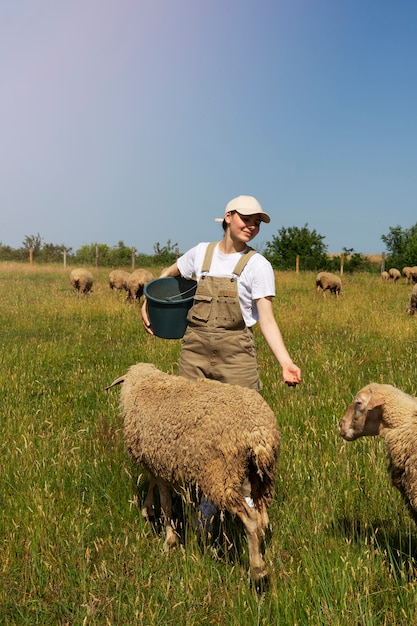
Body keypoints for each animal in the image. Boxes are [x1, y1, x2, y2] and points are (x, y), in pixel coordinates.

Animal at [105, 360, 280, 580]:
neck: (143, 382)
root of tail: (258, 431)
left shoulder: (159, 464)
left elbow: (166, 504)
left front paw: (169, 541)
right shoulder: (158, 459)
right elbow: (153, 484)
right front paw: (148, 508)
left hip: (220, 476)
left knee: (251, 520)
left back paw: (257, 570)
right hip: (260, 476)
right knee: (262, 517)